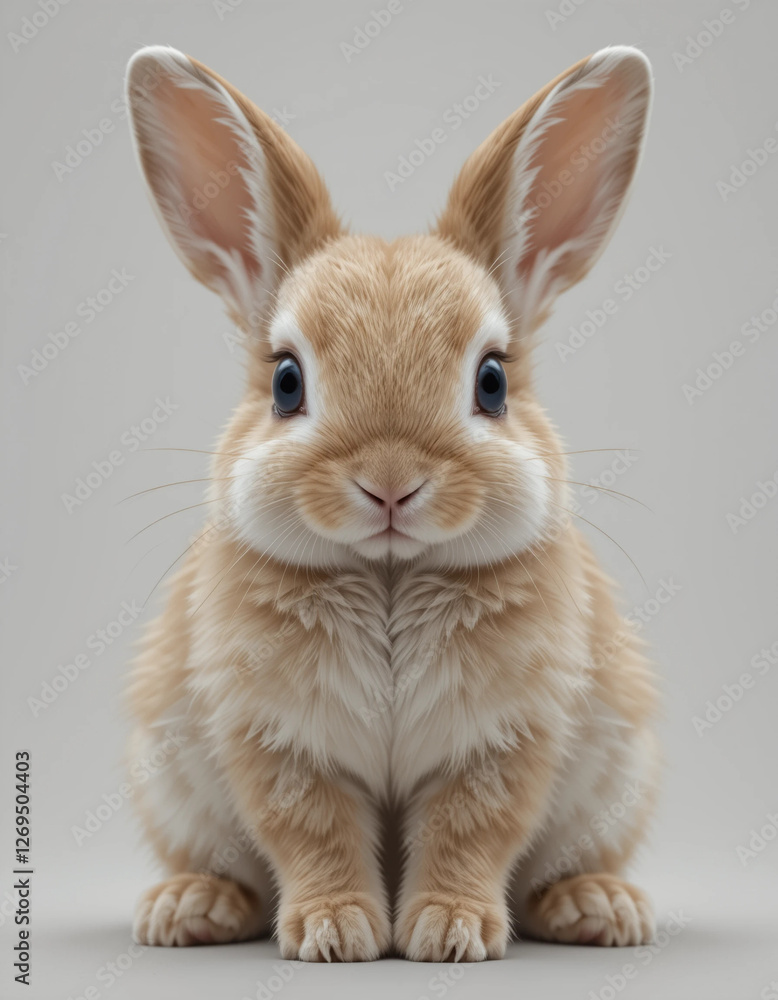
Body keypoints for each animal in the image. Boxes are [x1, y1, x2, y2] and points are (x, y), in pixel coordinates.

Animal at [124, 43, 659, 962]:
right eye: (287, 382)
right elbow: (314, 833)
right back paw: (188, 908)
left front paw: (448, 931)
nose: (390, 482)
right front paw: (336, 931)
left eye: (491, 382)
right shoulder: (280, 743)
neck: (388, 572)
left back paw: (600, 908)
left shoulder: (501, 741)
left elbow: (468, 831)